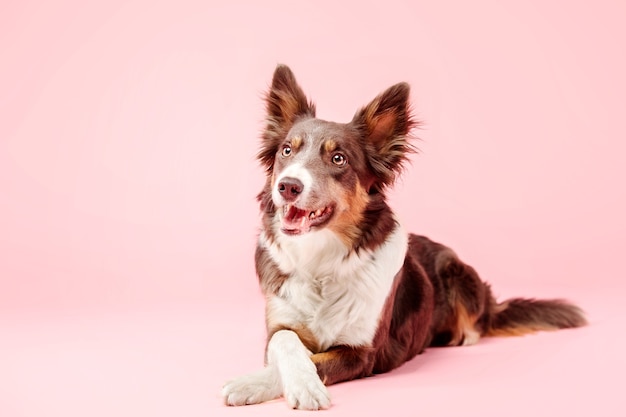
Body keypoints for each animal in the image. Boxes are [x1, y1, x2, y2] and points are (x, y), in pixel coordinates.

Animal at [221, 63, 584, 408]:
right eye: (286, 151)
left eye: (338, 158)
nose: (288, 186)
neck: (319, 261)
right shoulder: (279, 326)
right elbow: (286, 343)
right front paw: (257, 382)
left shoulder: (363, 352)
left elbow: (316, 361)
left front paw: (284, 385)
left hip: (458, 273)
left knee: (475, 325)